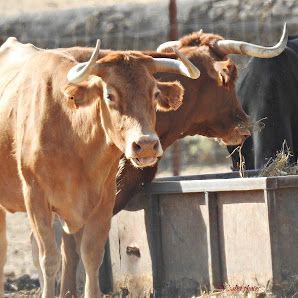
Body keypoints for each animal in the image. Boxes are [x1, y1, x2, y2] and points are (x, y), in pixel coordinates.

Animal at [0, 37, 200, 298]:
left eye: (155, 93)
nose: (146, 144)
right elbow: (49, 258)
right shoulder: (35, 197)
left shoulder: (104, 198)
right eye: (110, 95)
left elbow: (90, 254)